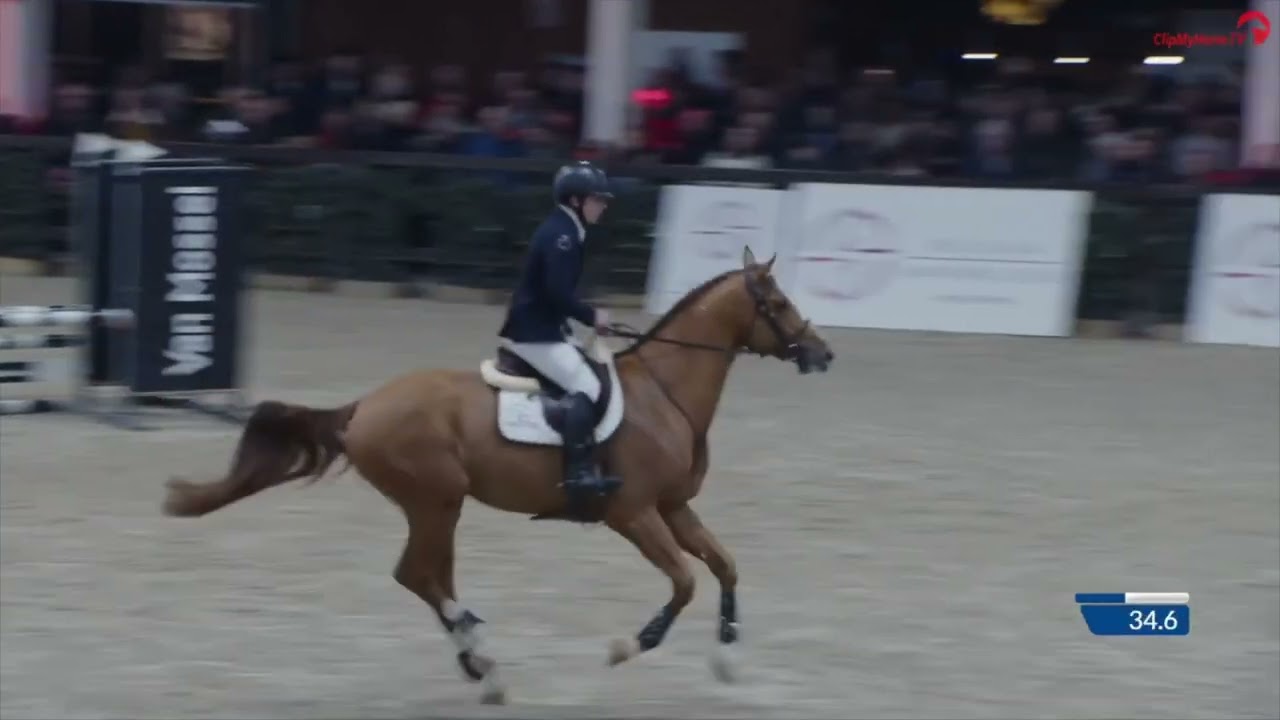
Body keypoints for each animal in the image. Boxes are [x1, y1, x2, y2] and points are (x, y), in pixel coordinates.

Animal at [161, 245, 835, 704]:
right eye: (778, 304)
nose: (822, 353)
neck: (663, 392)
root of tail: (364, 407)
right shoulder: (634, 514)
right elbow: (684, 583)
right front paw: (625, 648)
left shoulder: (673, 507)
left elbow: (724, 566)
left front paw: (728, 661)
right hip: (435, 501)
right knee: (418, 575)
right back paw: (482, 656)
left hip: (441, 507)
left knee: (432, 578)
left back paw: (480, 665)